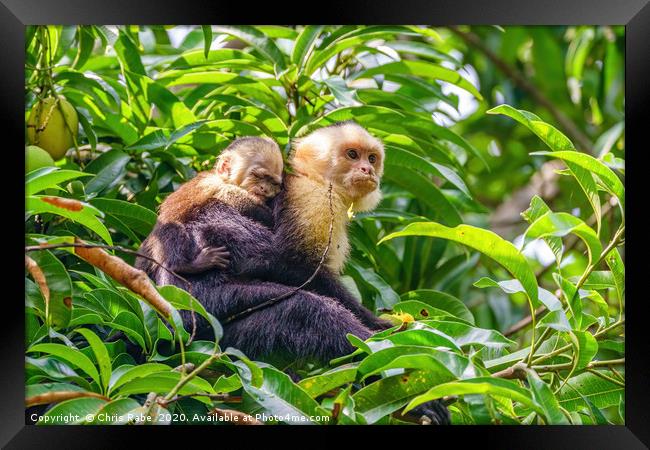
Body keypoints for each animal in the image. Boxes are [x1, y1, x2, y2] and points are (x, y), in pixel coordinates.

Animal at [138, 135, 282, 280]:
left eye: (273, 183)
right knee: (171, 228)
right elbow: (234, 198)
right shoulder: (213, 184)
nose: (264, 189)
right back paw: (184, 265)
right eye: (258, 176)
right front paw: (267, 216)